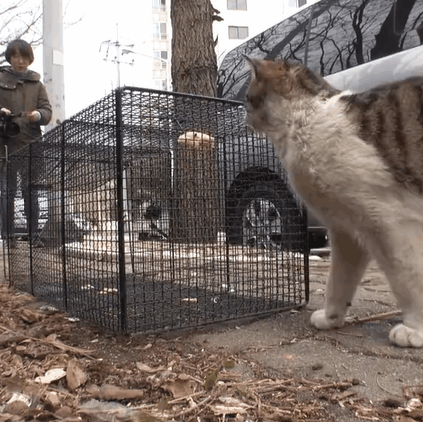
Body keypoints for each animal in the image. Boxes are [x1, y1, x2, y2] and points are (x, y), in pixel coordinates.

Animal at [245, 57, 423, 348]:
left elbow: (408, 277)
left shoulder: (390, 224)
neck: (307, 120)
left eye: (249, 97)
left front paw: (415, 329)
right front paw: (331, 318)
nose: (244, 115)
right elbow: (338, 282)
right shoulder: (346, 230)